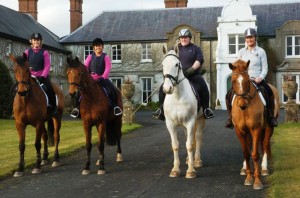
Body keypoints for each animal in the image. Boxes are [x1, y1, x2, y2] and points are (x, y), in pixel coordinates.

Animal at [162, 45, 206, 179]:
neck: (177, 96)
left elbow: (190, 145)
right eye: (162, 64)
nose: (167, 88)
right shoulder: (170, 124)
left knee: (198, 137)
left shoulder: (191, 122)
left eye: (177, 64)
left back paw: (197, 161)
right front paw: (175, 170)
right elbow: (175, 145)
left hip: (200, 119)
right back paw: (188, 159)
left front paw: (191, 171)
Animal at [229, 59, 280, 189]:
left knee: (265, 144)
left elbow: (255, 154)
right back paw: (245, 169)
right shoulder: (240, 131)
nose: (242, 104)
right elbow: (246, 153)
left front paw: (257, 181)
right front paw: (248, 177)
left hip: (268, 127)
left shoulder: (256, 129)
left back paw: (264, 168)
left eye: (247, 80)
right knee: (251, 145)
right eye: (233, 81)